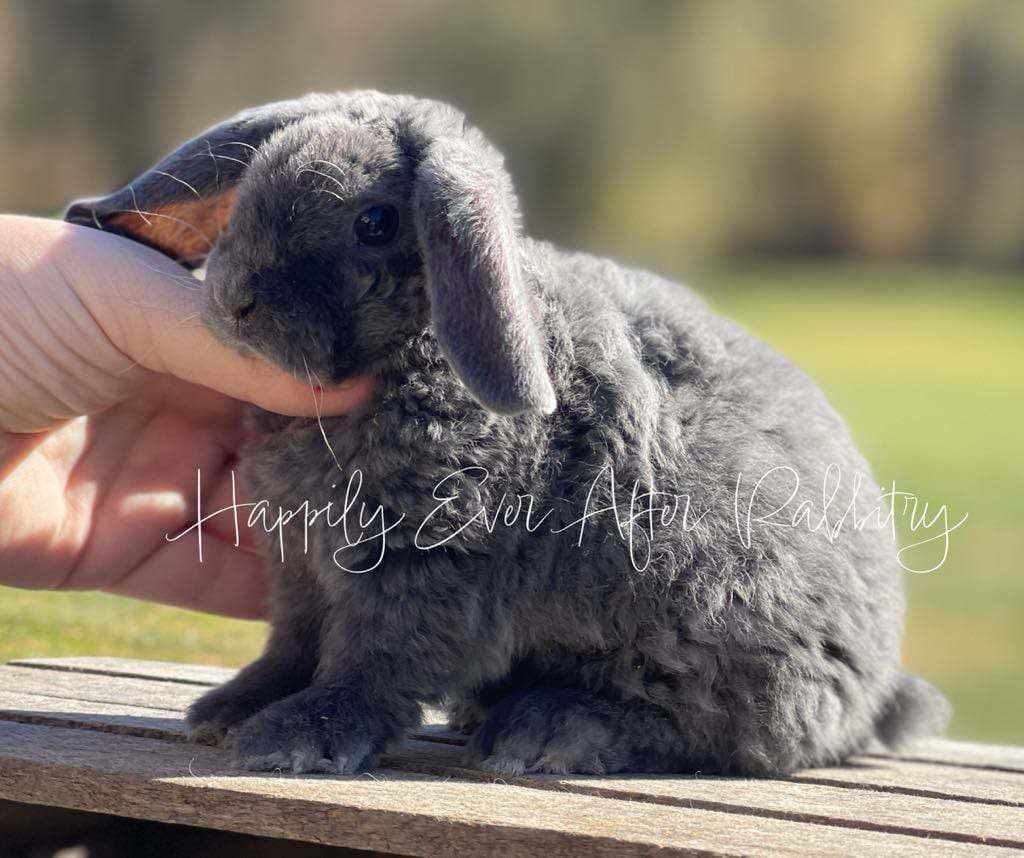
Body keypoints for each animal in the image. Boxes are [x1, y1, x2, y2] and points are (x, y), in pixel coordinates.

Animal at [64, 90, 946, 774]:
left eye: (376, 222)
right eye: (251, 180)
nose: (235, 299)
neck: (418, 350)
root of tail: (877, 686)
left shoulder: (422, 561)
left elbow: (371, 660)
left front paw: (293, 740)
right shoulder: (299, 563)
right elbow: (293, 644)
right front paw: (230, 708)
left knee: (723, 735)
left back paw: (548, 731)